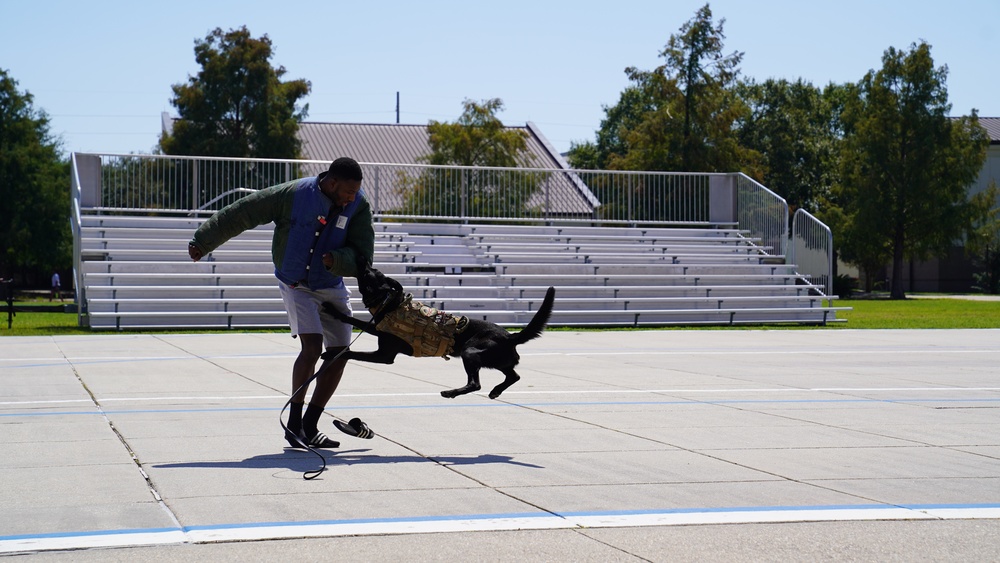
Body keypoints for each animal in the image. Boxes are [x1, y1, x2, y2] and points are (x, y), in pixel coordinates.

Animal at [322, 262, 556, 400]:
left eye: (370, 273)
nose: (363, 260)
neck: (389, 303)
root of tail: (510, 337)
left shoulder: (384, 355)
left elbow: (352, 345)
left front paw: (332, 351)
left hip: (471, 352)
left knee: (475, 383)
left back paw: (451, 392)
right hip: (497, 361)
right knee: (514, 376)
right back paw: (496, 390)